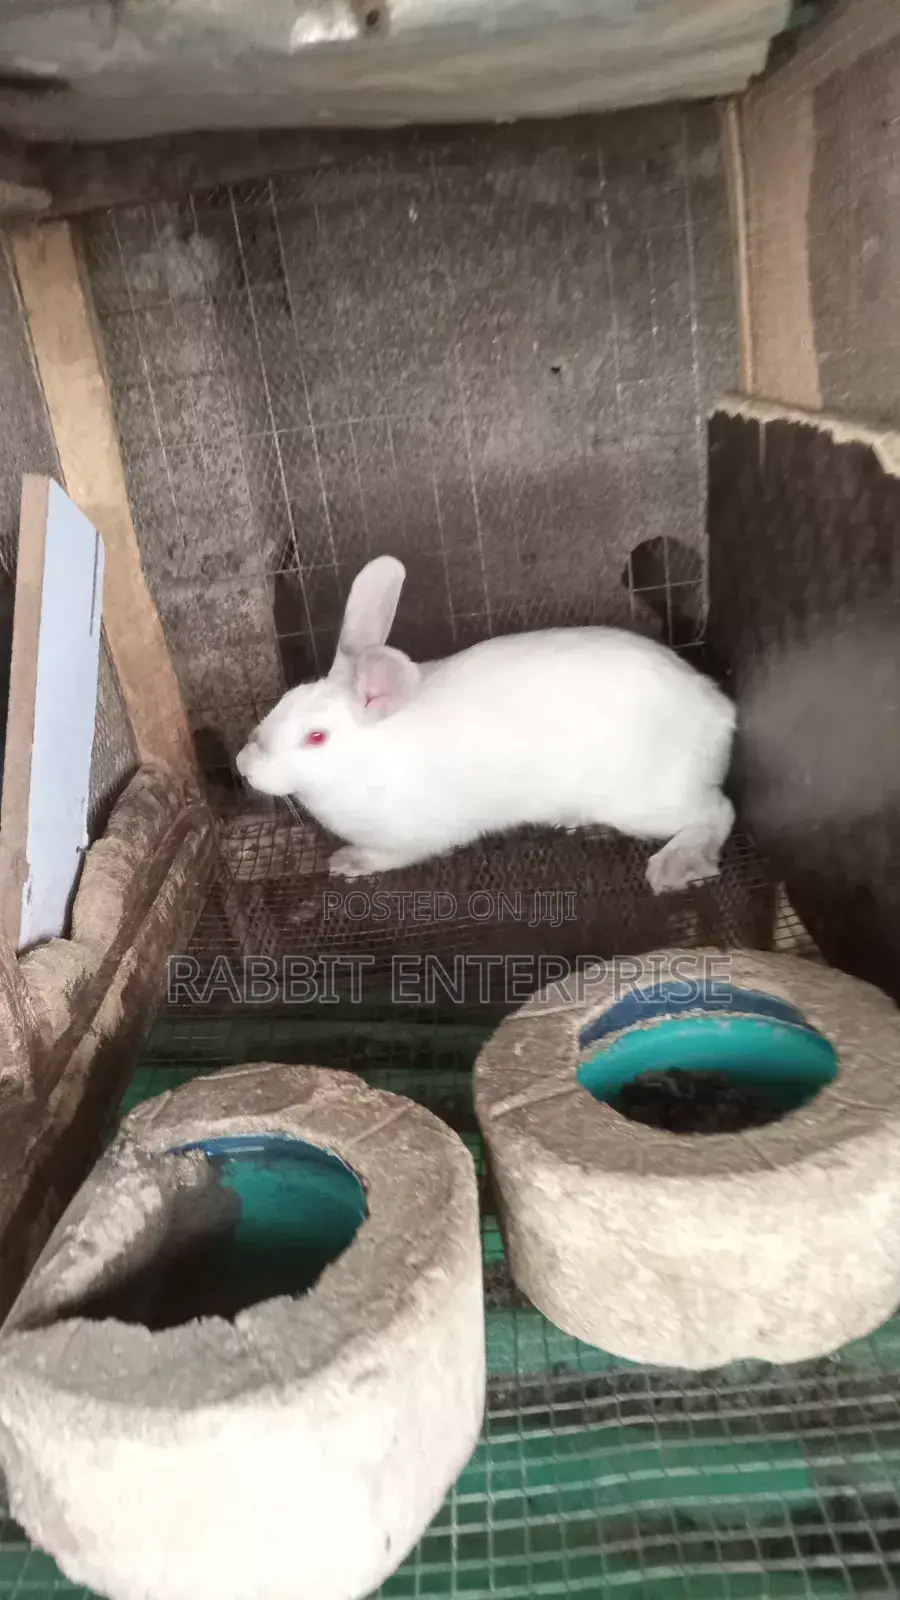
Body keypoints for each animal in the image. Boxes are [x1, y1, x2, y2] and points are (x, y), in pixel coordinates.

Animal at [236, 556, 736, 894]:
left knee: (718, 811)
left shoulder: (409, 839)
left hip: (647, 800)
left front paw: (347, 861)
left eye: (316, 737)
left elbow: (385, 855)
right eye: (284, 701)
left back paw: (676, 864)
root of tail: (717, 708)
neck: (366, 763)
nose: (242, 764)